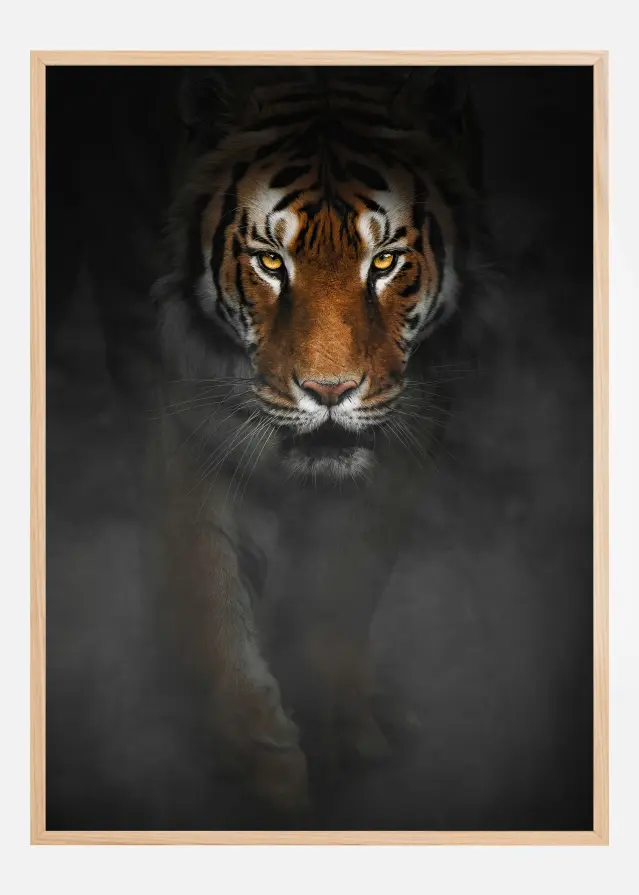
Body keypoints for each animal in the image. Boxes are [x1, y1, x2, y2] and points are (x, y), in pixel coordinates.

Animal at [151, 67, 487, 813]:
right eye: (270, 262)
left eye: (384, 261)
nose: (329, 392)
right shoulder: (184, 417)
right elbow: (204, 583)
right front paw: (258, 760)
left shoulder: (410, 435)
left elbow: (343, 587)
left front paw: (337, 727)